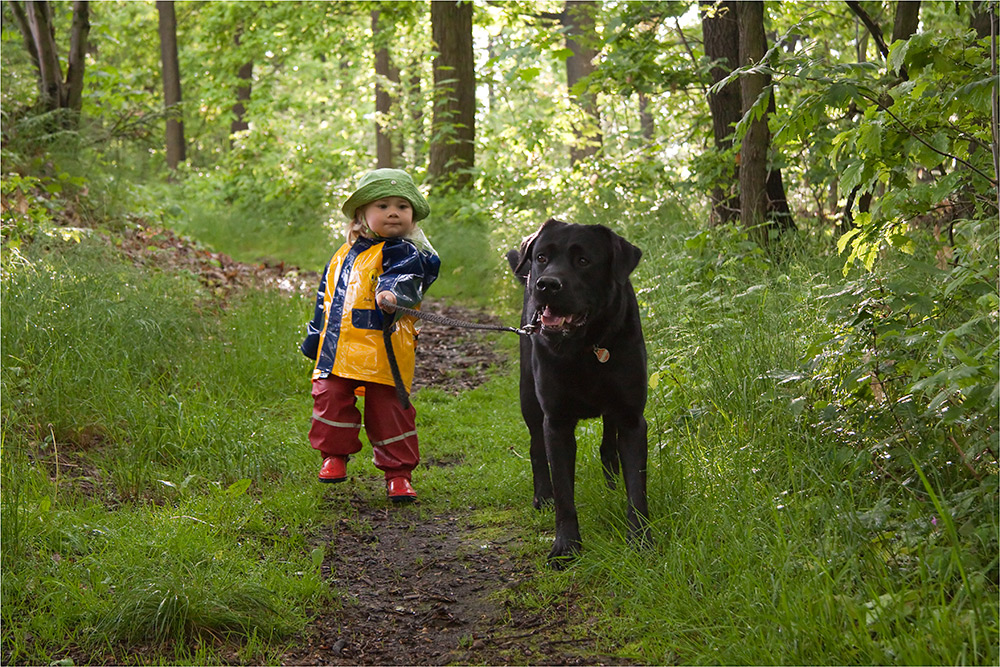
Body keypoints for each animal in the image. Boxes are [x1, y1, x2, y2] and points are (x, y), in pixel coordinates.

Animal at [508, 218, 648, 564]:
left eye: (583, 261)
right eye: (542, 256)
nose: (547, 284)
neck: (585, 347)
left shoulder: (631, 419)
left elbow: (637, 490)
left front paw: (641, 542)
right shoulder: (556, 421)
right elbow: (564, 495)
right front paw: (566, 547)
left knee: (608, 446)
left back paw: (611, 484)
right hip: (528, 397)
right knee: (535, 448)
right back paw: (542, 496)